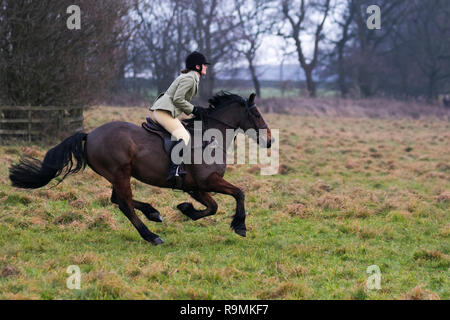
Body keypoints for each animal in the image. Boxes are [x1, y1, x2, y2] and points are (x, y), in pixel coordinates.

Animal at [8, 92, 272, 245]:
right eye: (258, 115)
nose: (269, 140)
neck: (210, 137)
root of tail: (89, 134)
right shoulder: (208, 181)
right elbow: (239, 193)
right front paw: (240, 226)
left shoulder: (196, 187)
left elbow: (213, 207)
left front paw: (186, 210)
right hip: (119, 173)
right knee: (124, 204)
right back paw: (151, 236)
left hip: (117, 175)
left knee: (117, 200)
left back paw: (153, 213)